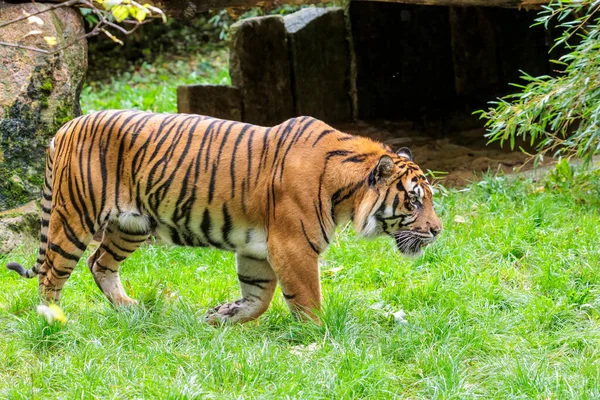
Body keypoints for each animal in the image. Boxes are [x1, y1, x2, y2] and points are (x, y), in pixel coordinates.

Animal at [7, 111, 442, 324]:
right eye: (415, 201)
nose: (438, 230)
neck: (346, 193)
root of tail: (63, 128)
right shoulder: (293, 247)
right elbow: (307, 299)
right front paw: (319, 339)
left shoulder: (257, 250)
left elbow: (258, 298)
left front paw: (222, 316)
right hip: (74, 217)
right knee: (52, 275)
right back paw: (53, 321)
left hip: (131, 225)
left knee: (100, 263)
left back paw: (130, 309)